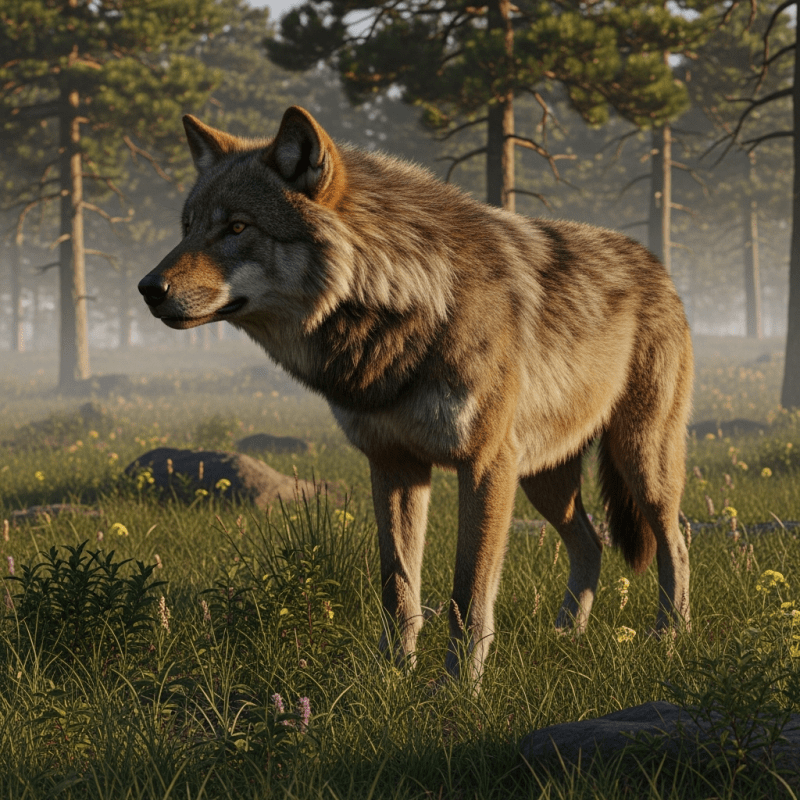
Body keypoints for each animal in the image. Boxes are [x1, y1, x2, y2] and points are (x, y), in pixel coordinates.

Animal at [139, 106, 693, 688]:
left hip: (639, 461)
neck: (410, 303)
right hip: (545, 478)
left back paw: (669, 635)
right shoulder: (393, 464)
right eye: (187, 228)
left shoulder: (485, 465)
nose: (147, 288)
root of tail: (657, 265)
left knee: (675, 541)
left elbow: (467, 593)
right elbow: (398, 586)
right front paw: (390, 676)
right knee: (591, 542)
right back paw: (567, 634)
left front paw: (458, 686)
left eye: (238, 227)